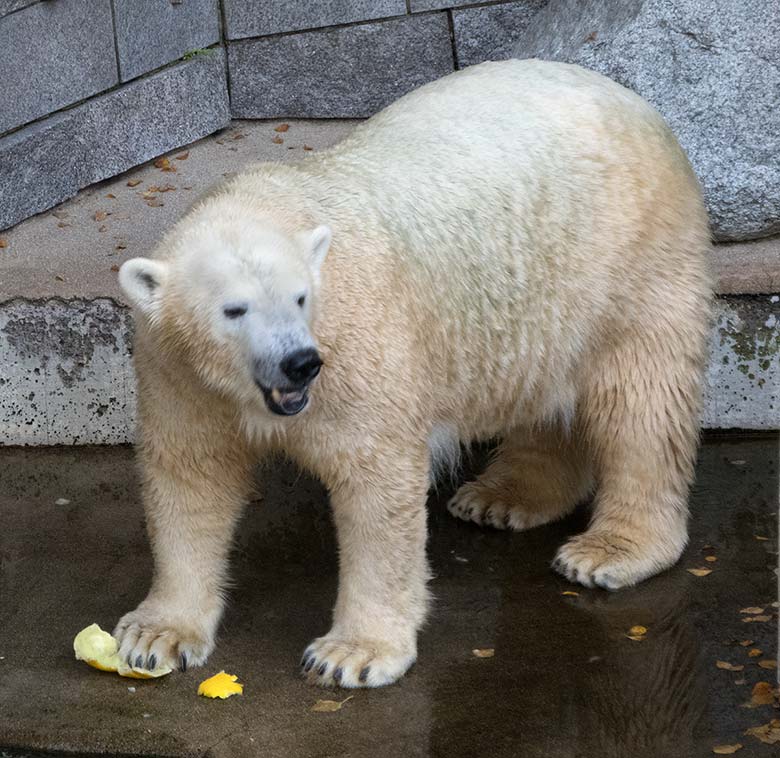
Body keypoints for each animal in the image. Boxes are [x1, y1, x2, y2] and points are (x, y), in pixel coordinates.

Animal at [114, 59, 712, 688]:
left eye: (301, 297)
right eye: (234, 309)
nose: (300, 362)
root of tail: (632, 100)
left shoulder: (359, 352)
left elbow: (376, 486)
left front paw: (351, 654)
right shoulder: (177, 371)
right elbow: (190, 477)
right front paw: (154, 636)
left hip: (630, 260)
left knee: (641, 401)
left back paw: (611, 550)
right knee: (545, 386)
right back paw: (502, 496)